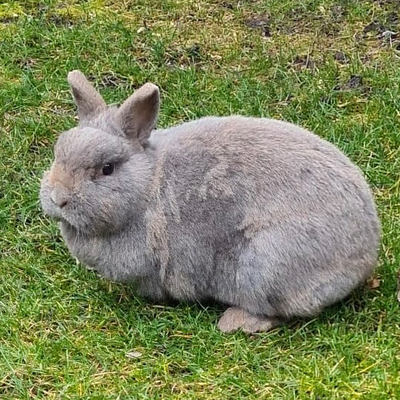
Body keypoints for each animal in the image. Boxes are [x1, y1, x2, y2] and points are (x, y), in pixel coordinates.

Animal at [40, 70, 382, 332]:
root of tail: (364, 254)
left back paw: (235, 323)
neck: (147, 185)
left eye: (107, 169)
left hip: (265, 265)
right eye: (58, 154)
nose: (58, 199)